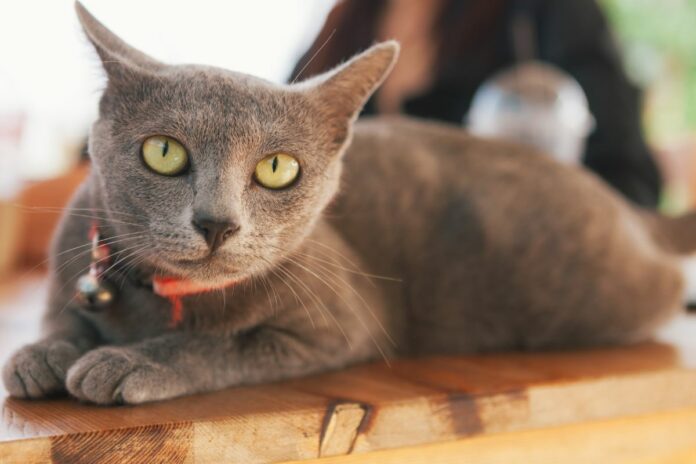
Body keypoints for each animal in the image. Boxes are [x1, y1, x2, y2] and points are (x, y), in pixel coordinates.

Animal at [2, 2, 692, 402]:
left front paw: (121, 362)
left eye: (277, 168)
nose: (217, 223)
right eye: (164, 153)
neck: (163, 298)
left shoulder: (337, 324)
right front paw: (39, 356)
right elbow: (60, 315)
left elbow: (219, 345)